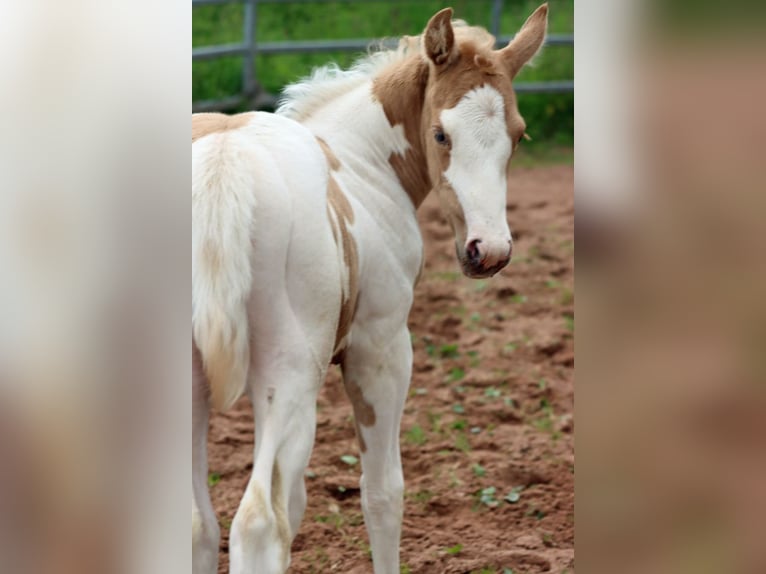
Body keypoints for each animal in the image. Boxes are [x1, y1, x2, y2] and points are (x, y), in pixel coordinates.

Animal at [192, 5, 548, 573]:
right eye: (440, 134)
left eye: (518, 135)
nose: (488, 250)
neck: (358, 162)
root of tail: (223, 166)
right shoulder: (381, 352)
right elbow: (382, 492)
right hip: (288, 381)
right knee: (257, 523)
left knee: (198, 525)